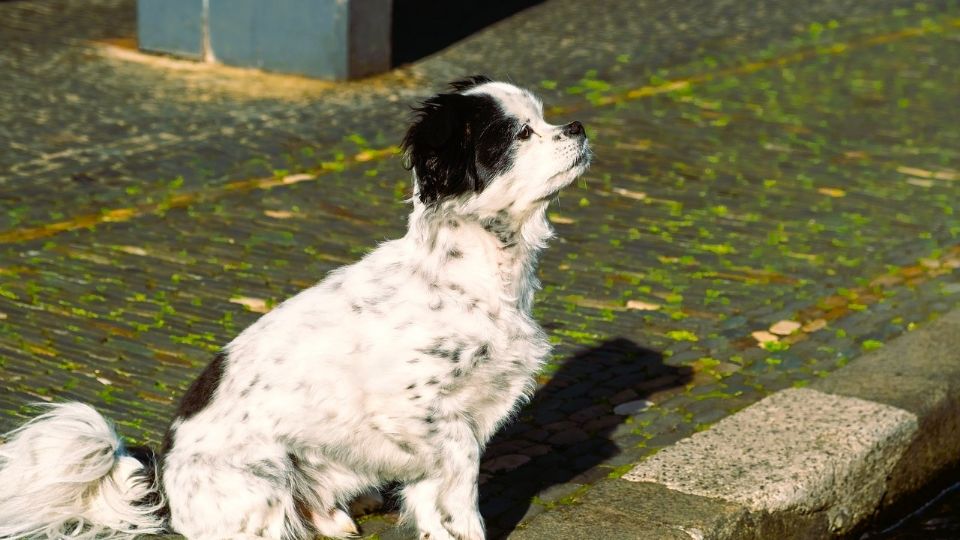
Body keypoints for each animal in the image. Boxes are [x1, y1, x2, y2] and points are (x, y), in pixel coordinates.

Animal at [0, 76, 588, 540]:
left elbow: (432, 496)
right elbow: (461, 476)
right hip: (263, 481)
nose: (579, 126)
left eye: (544, 117)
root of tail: (162, 479)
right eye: (521, 134)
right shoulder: (416, 409)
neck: (471, 276)